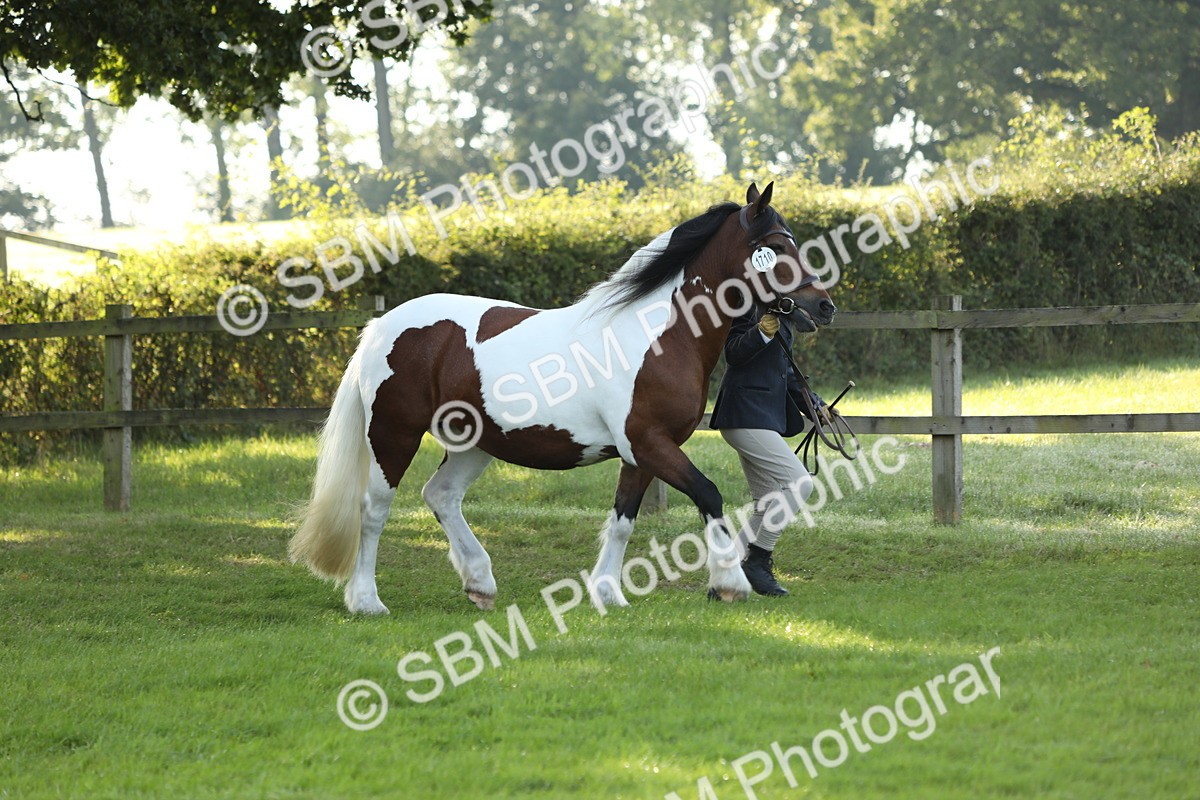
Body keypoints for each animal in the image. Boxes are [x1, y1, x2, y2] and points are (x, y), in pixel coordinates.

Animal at [288, 181, 837, 614]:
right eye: (775, 245)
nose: (823, 306)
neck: (659, 334)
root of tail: (383, 325)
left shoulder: (639, 453)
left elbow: (623, 520)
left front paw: (608, 593)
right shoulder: (651, 443)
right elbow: (709, 494)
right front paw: (729, 583)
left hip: (475, 443)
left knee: (440, 496)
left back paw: (480, 582)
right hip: (393, 433)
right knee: (374, 509)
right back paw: (367, 600)